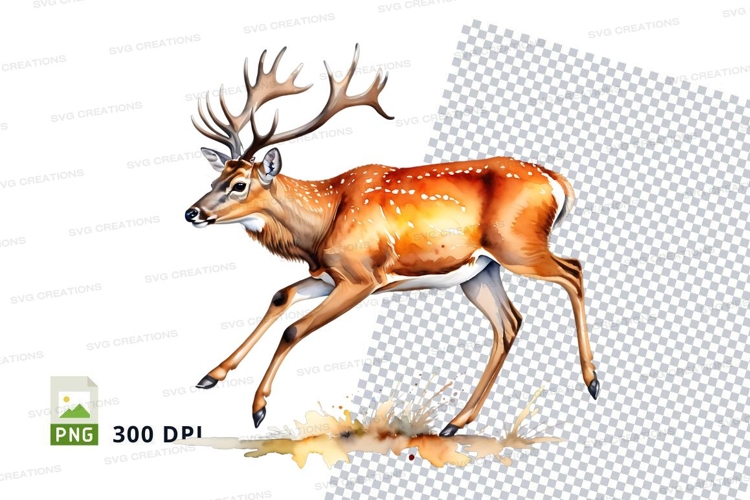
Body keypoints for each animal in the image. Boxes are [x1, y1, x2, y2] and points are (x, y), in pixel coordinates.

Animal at [184, 44, 599, 437]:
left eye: (239, 185)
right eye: (214, 180)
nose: (192, 213)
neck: (321, 226)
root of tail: (557, 181)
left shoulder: (361, 276)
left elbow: (293, 329)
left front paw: (258, 408)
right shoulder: (329, 275)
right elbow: (280, 297)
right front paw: (210, 375)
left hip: (518, 246)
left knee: (573, 271)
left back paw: (592, 381)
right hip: (480, 271)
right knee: (510, 321)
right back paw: (455, 422)